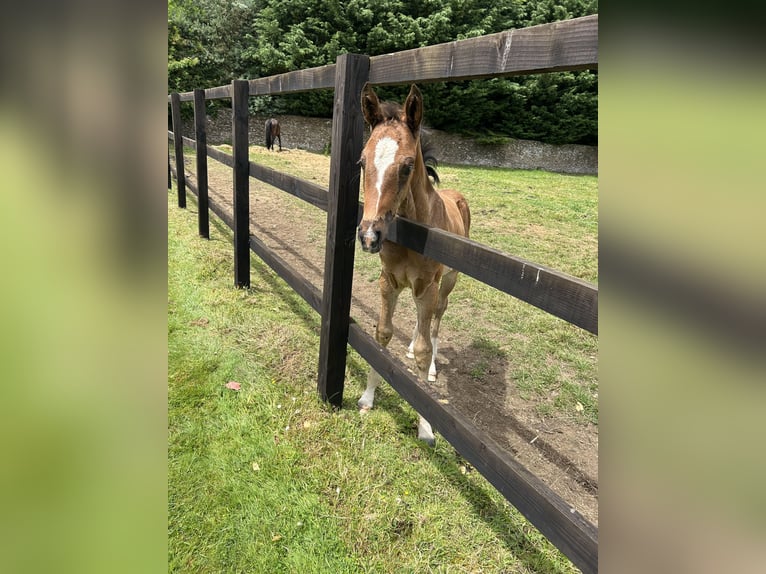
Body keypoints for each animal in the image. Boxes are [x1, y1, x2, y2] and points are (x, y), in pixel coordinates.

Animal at [360, 83, 474, 448]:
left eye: (408, 166)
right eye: (362, 161)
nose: (369, 236)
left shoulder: (428, 287)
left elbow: (425, 349)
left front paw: (426, 427)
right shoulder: (390, 281)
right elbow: (382, 333)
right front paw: (367, 397)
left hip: (447, 283)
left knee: (436, 320)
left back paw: (434, 367)